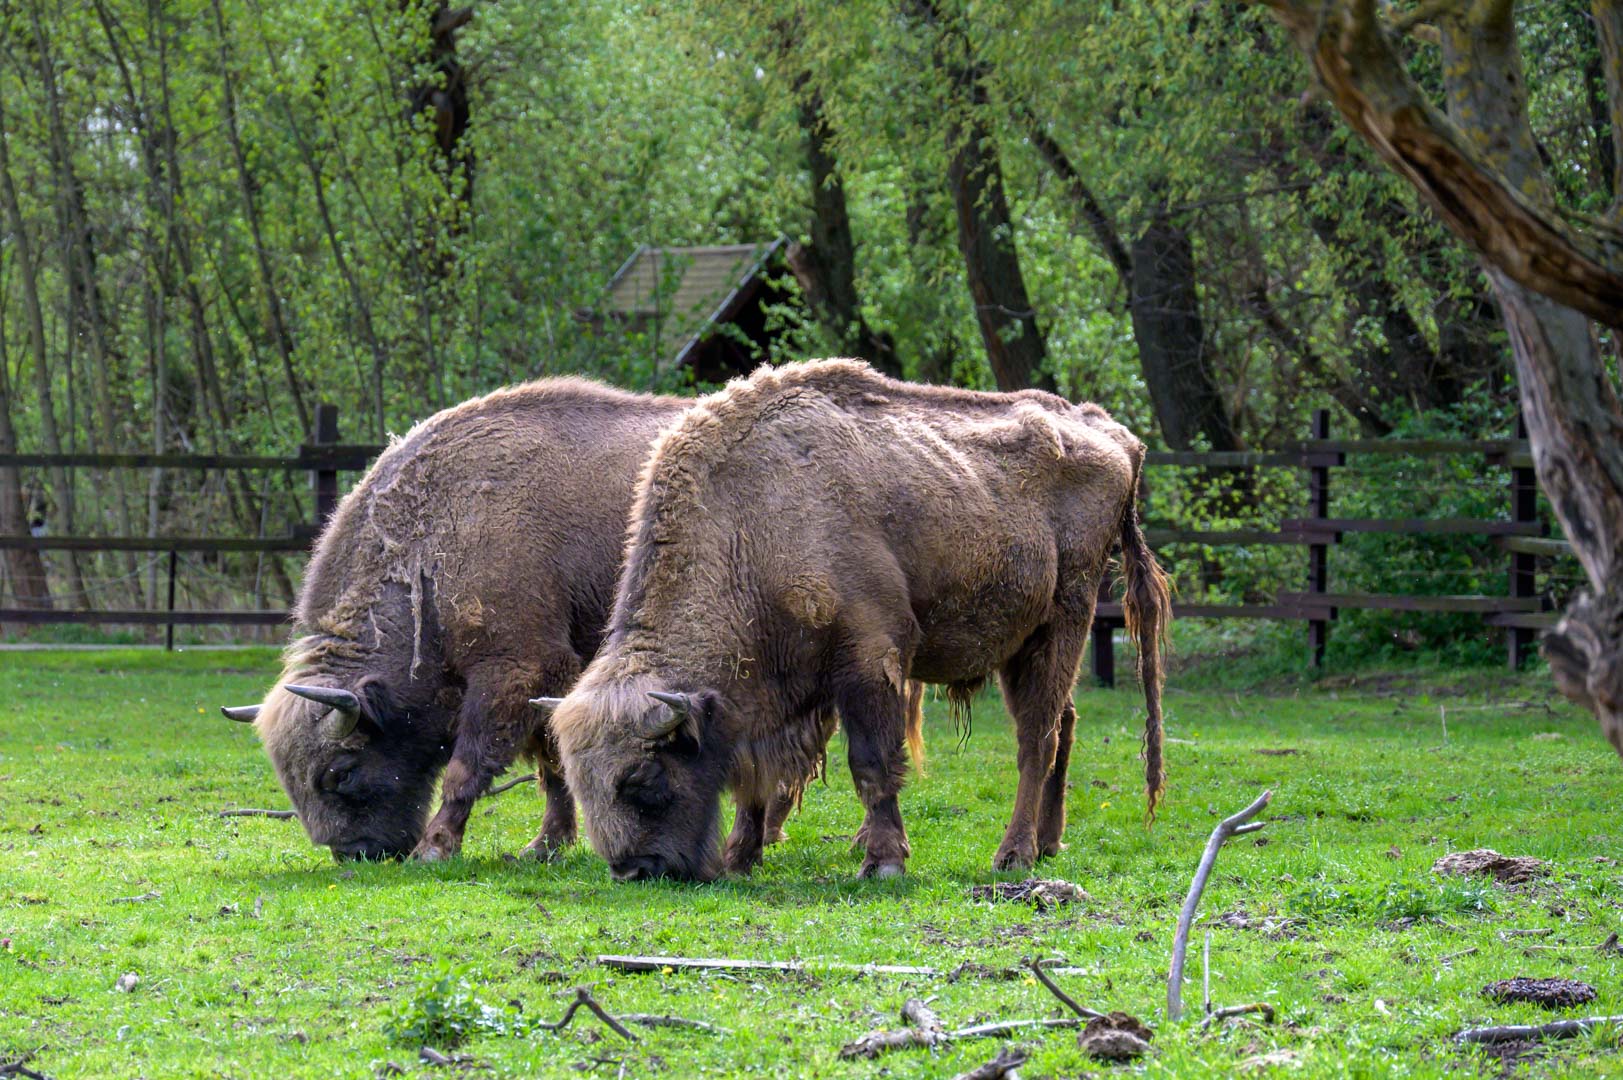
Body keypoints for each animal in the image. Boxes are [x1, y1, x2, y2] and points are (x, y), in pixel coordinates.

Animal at [547, 359, 1169, 882]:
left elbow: (871, 764)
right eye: (581, 782)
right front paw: (741, 857)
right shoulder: (769, 696)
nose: (635, 869)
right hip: (1026, 645)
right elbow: (756, 776)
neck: (751, 527)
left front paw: (883, 862)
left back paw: (1012, 854)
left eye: (643, 779)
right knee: (1063, 723)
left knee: (1036, 737)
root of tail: (1116, 438)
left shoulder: (870, 661)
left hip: (1063, 622)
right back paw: (1046, 844)